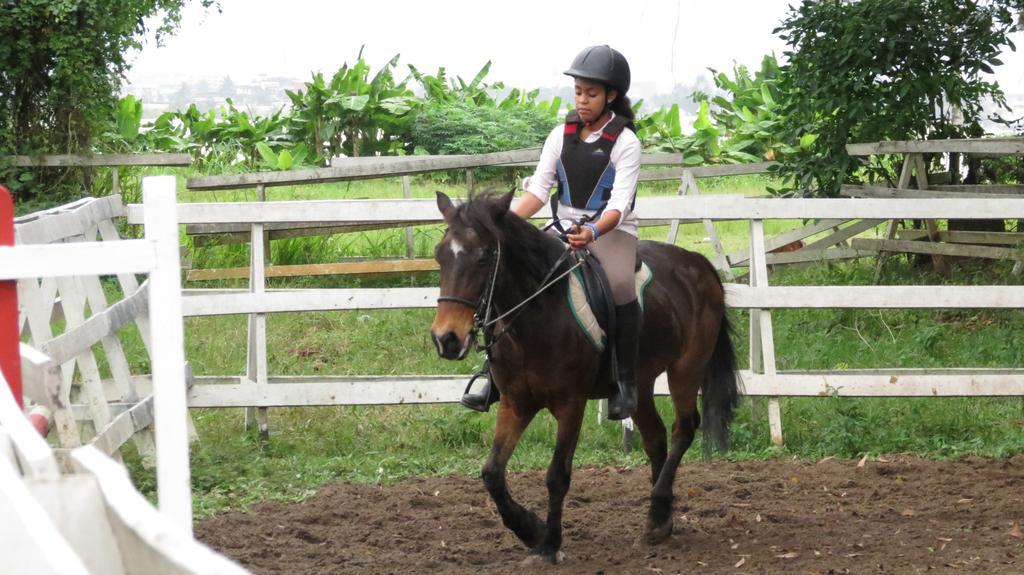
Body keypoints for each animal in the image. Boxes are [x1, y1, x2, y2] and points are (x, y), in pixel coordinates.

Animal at [428, 190, 741, 560]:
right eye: (440, 256)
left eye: (484, 258)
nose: (447, 339)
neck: (537, 315)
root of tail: (698, 263)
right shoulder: (515, 403)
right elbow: (492, 473)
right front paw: (529, 529)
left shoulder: (570, 404)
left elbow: (557, 475)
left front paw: (549, 543)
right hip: (641, 383)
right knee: (656, 438)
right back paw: (659, 520)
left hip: (687, 368)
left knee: (684, 429)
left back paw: (659, 506)